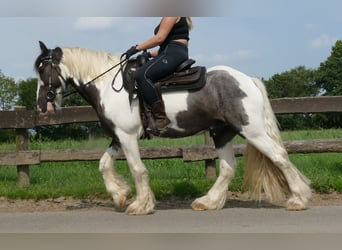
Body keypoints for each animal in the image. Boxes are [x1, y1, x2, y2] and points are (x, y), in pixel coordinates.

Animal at [35, 41, 312, 215]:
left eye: (42, 68)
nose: (40, 104)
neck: (109, 87)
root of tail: (248, 80)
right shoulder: (118, 138)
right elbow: (103, 164)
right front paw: (119, 194)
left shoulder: (127, 137)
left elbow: (137, 170)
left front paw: (140, 205)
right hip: (222, 133)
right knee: (228, 168)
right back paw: (207, 202)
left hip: (252, 130)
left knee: (279, 157)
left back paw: (298, 199)